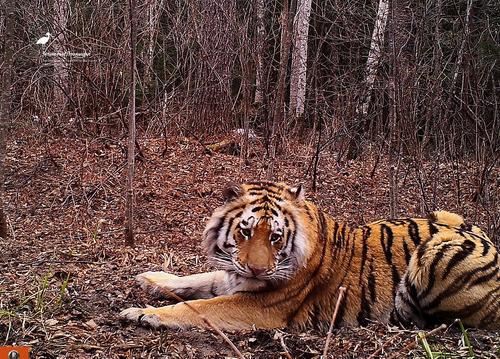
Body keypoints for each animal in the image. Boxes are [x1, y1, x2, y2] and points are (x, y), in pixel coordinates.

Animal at [121, 181, 500, 330]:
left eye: (276, 237)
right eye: (245, 231)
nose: (257, 270)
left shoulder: (260, 305)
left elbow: (197, 307)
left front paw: (143, 313)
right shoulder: (234, 274)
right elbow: (196, 279)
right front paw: (149, 279)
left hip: (437, 250)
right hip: (446, 216)